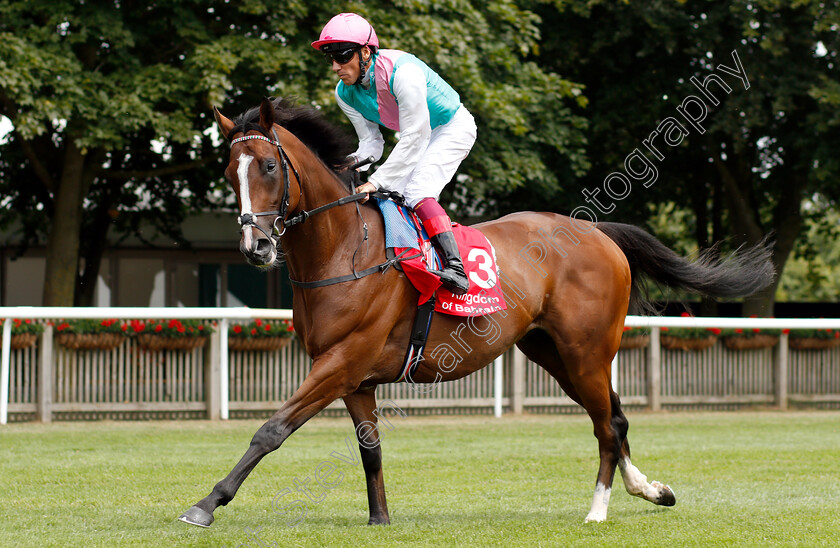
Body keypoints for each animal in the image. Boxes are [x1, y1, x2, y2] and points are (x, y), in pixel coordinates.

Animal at [180, 97, 772, 528]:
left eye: (268, 166)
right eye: (228, 171)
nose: (255, 246)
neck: (345, 250)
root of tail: (598, 233)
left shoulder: (341, 363)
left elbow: (271, 430)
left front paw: (207, 503)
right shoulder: (354, 377)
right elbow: (370, 449)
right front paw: (380, 518)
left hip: (586, 351)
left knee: (606, 424)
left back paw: (599, 509)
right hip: (551, 352)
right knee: (616, 416)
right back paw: (650, 489)